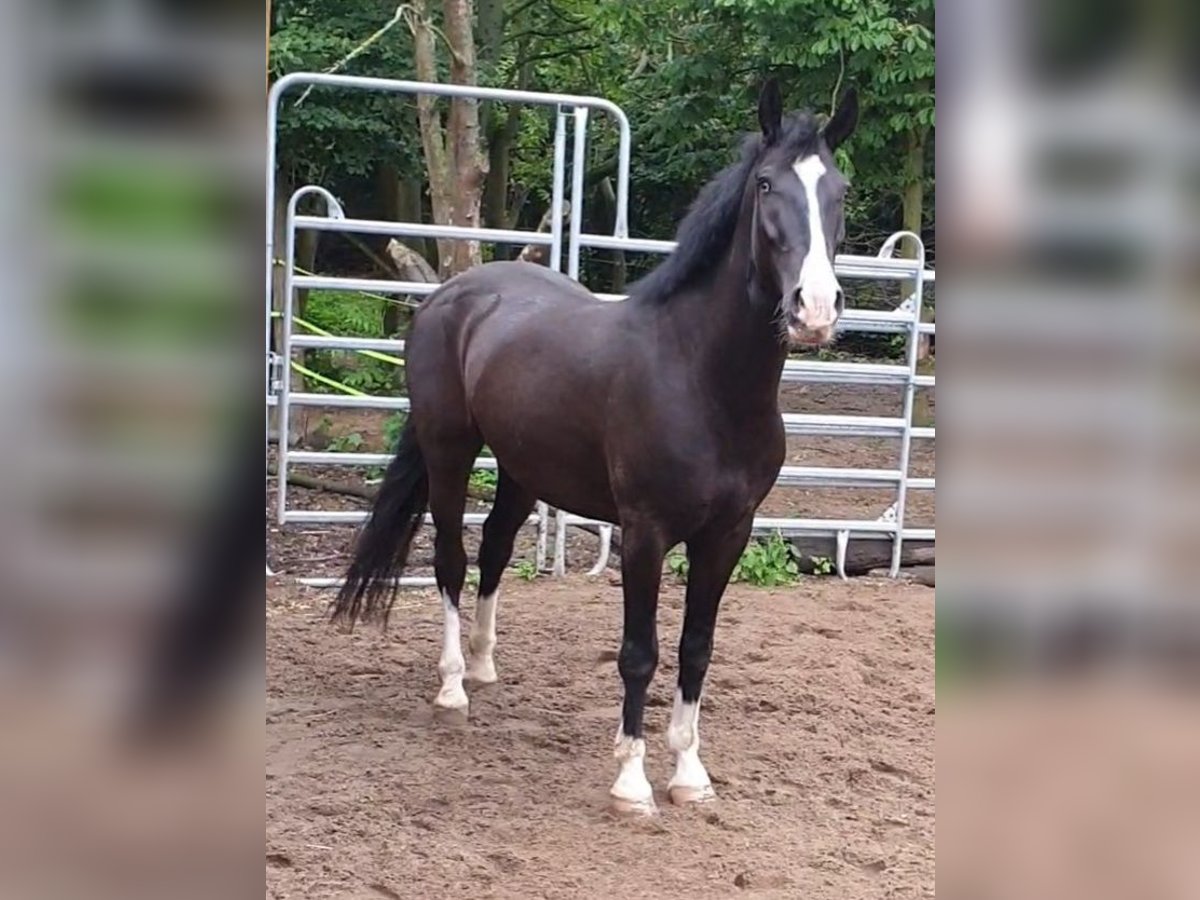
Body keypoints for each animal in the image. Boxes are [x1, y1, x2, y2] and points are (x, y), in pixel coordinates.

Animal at [333, 79, 859, 816]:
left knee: (495, 549)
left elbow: (697, 647)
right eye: (765, 185)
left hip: (522, 468)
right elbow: (639, 651)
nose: (815, 309)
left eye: (838, 189)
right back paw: (454, 686)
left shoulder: (728, 534)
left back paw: (486, 665)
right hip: (450, 452)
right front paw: (632, 782)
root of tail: (451, 295)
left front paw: (690, 775)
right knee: (451, 559)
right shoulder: (644, 533)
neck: (701, 377)